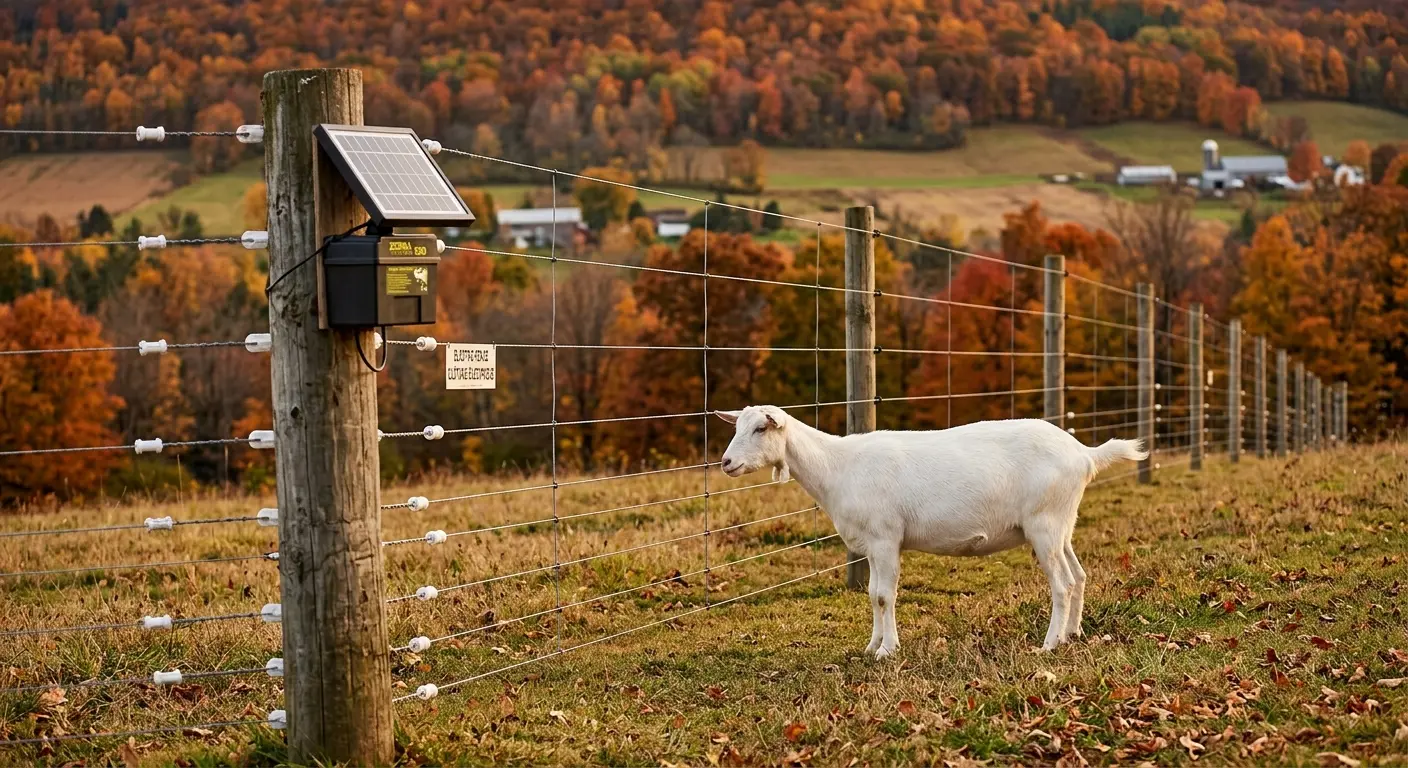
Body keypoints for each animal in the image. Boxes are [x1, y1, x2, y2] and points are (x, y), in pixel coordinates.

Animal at [715, 406, 1146, 657]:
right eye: (737, 426)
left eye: (760, 429)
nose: (726, 462)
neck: (837, 467)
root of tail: (1085, 455)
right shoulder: (872, 545)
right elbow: (872, 595)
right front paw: (872, 645)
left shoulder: (885, 537)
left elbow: (884, 596)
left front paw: (887, 651)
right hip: (1061, 524)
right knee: (1079, 575)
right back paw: (1072, 634)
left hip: (1044, 523)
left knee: (1062, 584)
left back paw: (1049, 645)